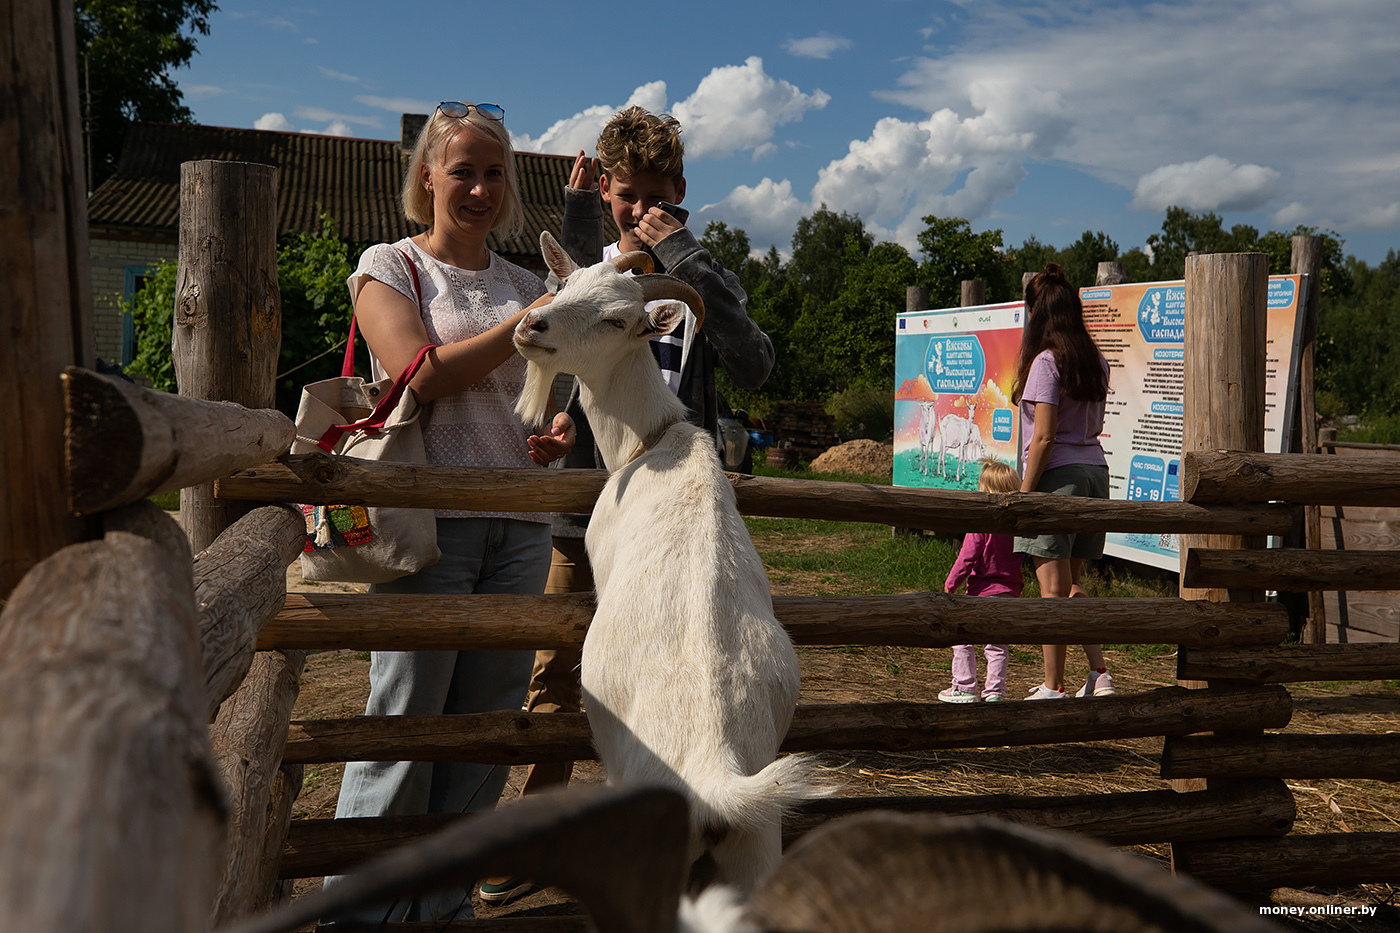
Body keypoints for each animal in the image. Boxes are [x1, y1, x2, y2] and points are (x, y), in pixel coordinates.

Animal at [518, 232, 828, 896]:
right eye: (568, 283)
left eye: (617, 318)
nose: (532, 326)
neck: (653, 443)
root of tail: (713, 774)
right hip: (755, 851)